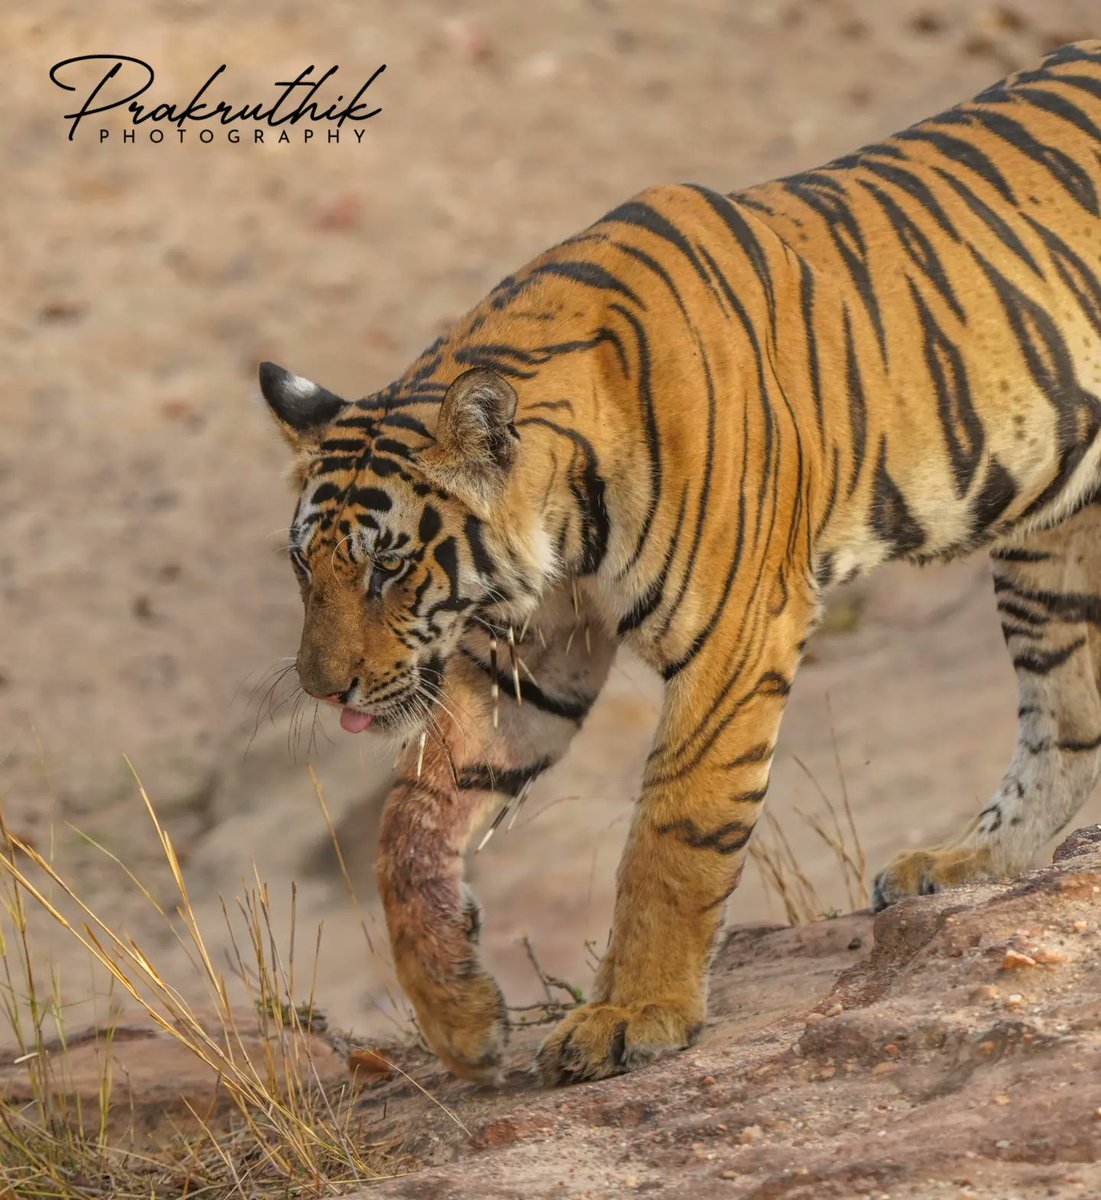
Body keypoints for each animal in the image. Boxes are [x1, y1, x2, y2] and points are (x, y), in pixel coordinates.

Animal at [258, 41, 1101, 1085]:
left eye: (387, 568)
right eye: (306, 568)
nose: (321, 687)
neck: (561, 528)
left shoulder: (738, 632)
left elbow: (673, 832)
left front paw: (634, 1013)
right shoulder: (527, 658)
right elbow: (409, 826)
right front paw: (459, 1017)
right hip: (1047, 544)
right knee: (1065, 717)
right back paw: (963, 869)